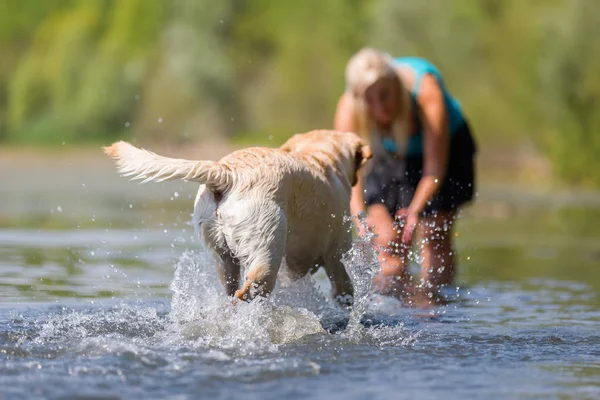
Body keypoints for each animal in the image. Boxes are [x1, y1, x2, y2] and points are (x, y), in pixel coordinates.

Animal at [105, 131, 372, 304]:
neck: (321, 156)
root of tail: (227, 172)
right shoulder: (336, 256)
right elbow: (344, 289)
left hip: (222, 256)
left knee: (231, 288)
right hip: (266, 252)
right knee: (247, 292)